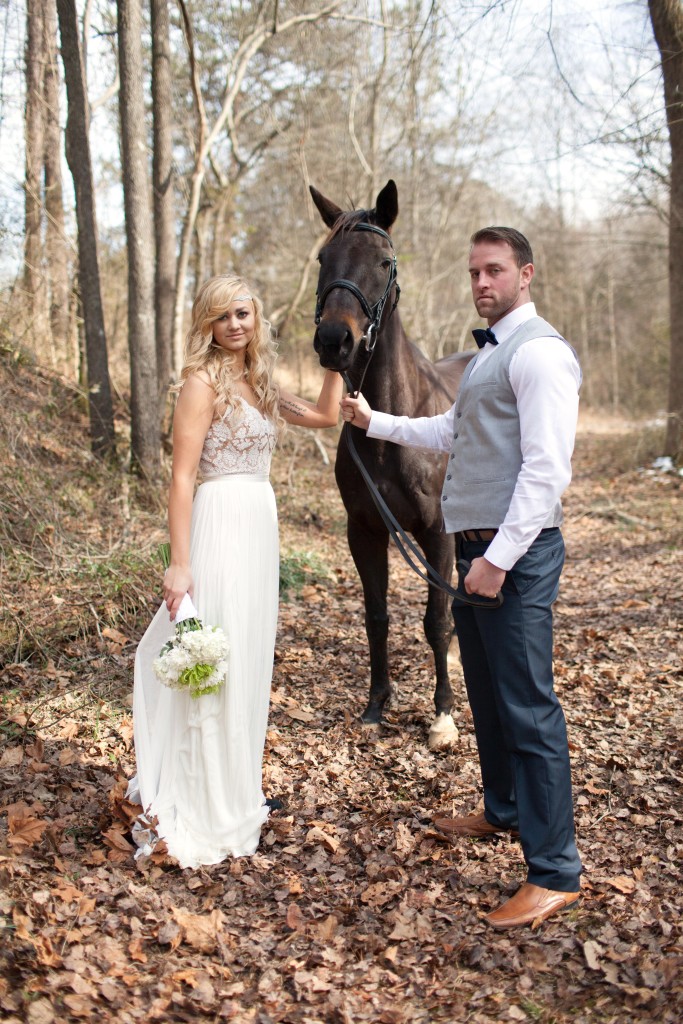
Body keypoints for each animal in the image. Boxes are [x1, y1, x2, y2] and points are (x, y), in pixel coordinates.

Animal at [309, 180, 475, 749]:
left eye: (383, 262)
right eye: (324, 258)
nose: (333, 341)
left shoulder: (437, 531)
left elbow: (435, 620)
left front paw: (443, 714)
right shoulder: (365, 530)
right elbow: (377, 616)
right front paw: (377, 703)